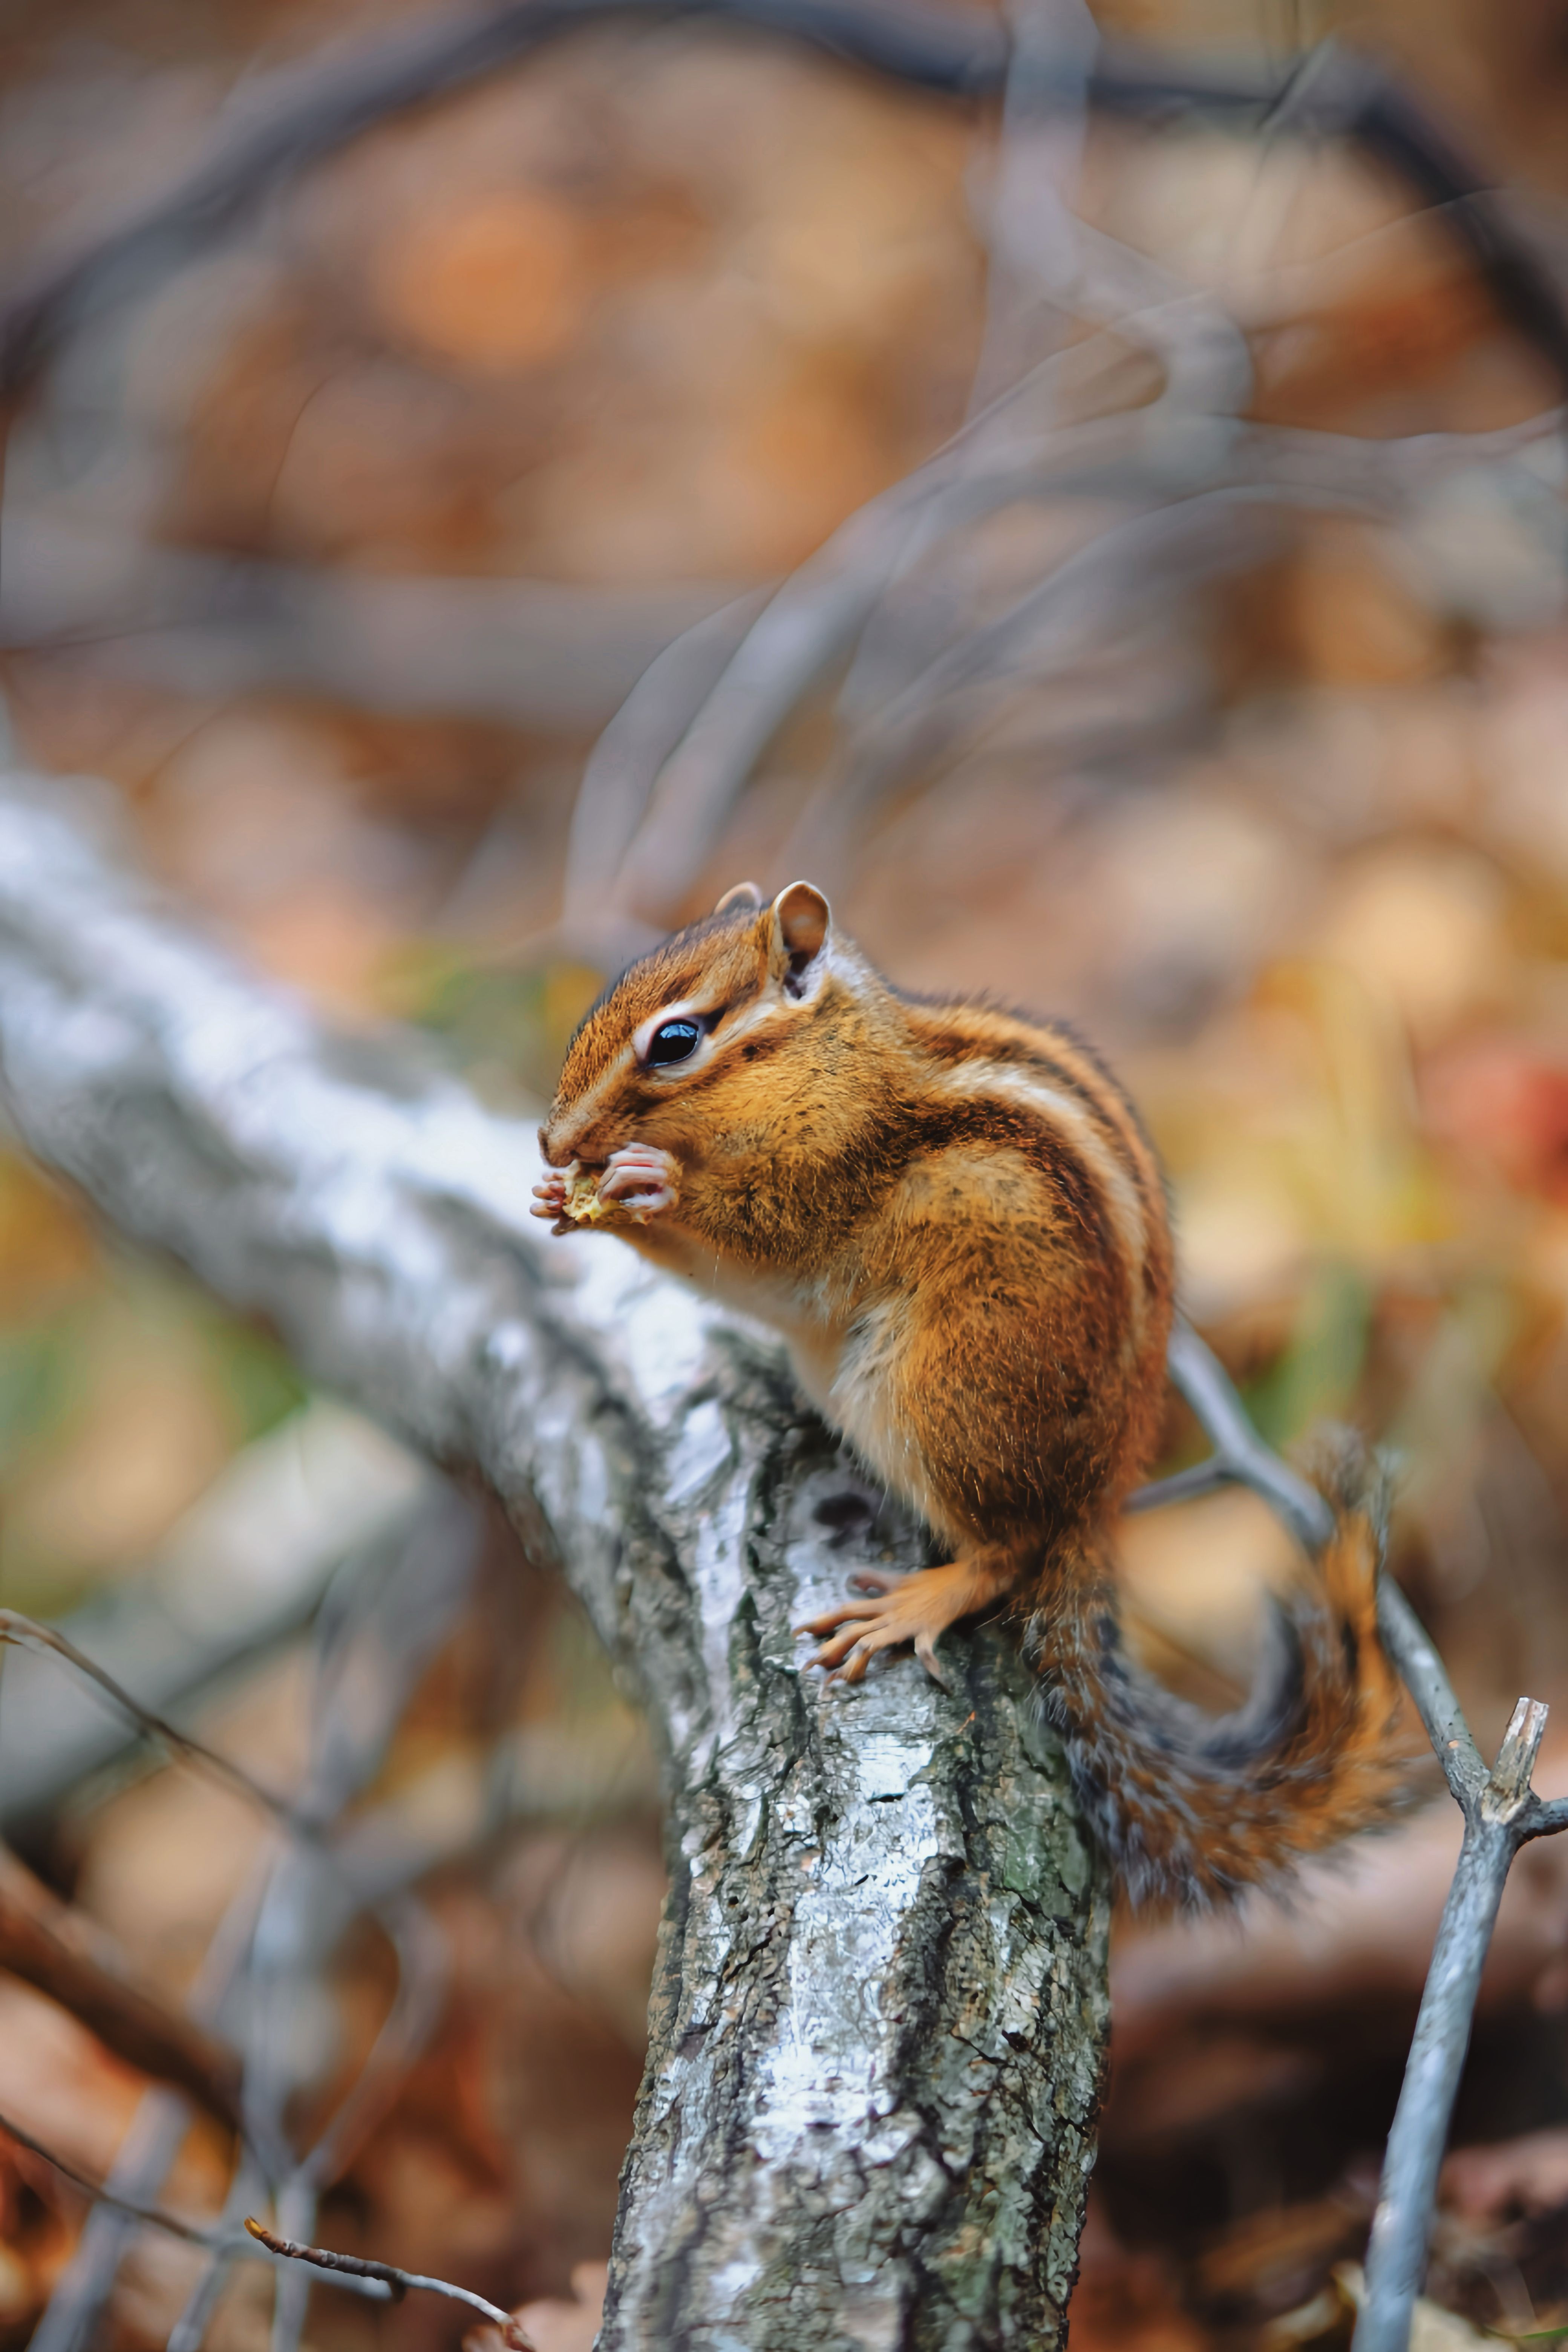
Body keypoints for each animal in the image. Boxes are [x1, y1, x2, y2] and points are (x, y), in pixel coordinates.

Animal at [533, 879, 1405, 1907]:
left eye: (674, 1041)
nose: (552, 1137)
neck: (836, 1064)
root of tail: (1096, 1498)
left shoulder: (827, 1181)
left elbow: (756, 1246)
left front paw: (646, 1186)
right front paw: (563, 1197)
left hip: (937, 1397)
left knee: (1009, 1555)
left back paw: (918, 1602)